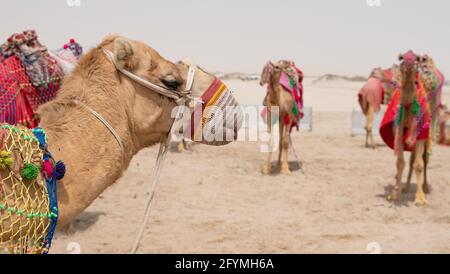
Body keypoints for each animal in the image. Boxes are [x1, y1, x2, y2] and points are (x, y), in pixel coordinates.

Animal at [380, 50, 432, 206]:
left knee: (424, 159)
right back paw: (406, 186)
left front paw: (420, 198)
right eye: (401, 57)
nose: (409, 63)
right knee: (411, 160)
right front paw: (394, 194)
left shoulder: (421, 134)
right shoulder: (398, 131)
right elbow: (400, 163)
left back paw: (425, 187)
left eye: (417, 58)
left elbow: (419, 165)